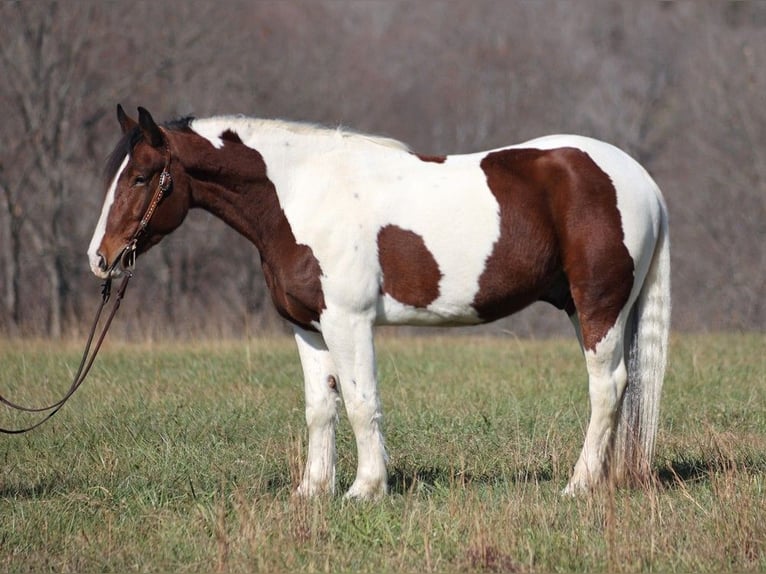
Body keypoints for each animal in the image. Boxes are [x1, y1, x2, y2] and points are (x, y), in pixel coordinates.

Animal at [90, 107, 672, 500]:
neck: (302, 194)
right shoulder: (308, 327)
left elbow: (360, 401)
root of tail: (641, 180)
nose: (101, 259)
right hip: (583, 308)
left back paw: (578, 485)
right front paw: (313, 491)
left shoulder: (348, 323)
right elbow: (320, 407)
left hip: (598, 307)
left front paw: (366, 488)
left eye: (140, 177)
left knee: (607, 387)